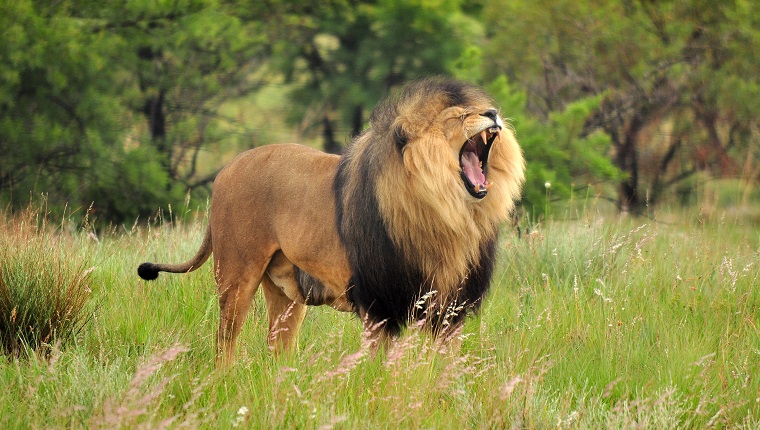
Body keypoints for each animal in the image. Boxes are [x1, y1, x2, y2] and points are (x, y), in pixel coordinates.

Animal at [138, 77, 524, 362]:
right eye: (458, 117)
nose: (493, 113)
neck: (451, 216)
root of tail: (225, 170)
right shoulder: (380, 304)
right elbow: (381, 365)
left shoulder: (451, 308)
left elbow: (445, 365)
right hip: (236, 276)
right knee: (224, 344)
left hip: (286, 295)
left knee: (277, 347)